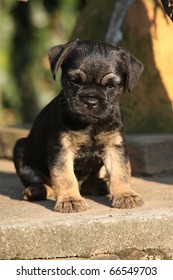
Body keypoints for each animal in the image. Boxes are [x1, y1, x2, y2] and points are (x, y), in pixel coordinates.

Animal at [13, 38, 143, 212]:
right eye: (74, 81)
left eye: (111, 85)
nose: (91, 101)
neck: (90, 125)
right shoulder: (61, 149)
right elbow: (65, 176)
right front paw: (70, 200)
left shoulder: (115, 146)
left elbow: (121, 171)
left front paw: (125, 195)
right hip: (20, 148)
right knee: (46, 183)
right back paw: (35, 190)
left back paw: (102, 185)